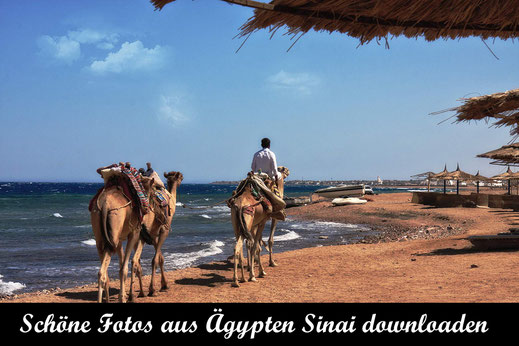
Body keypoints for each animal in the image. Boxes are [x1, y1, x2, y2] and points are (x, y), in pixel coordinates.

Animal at [129, 170, 183, 300]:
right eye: (179, 177)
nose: (182, 177)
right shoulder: (163, 231)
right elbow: (157, 259)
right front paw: (158, 287)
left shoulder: (153, 236)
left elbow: (160, 258)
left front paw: (163, 284)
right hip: (141, 237)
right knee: (137, 260)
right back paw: (144, 292)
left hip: (137, 237)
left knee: (135, 261)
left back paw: (136, 294)